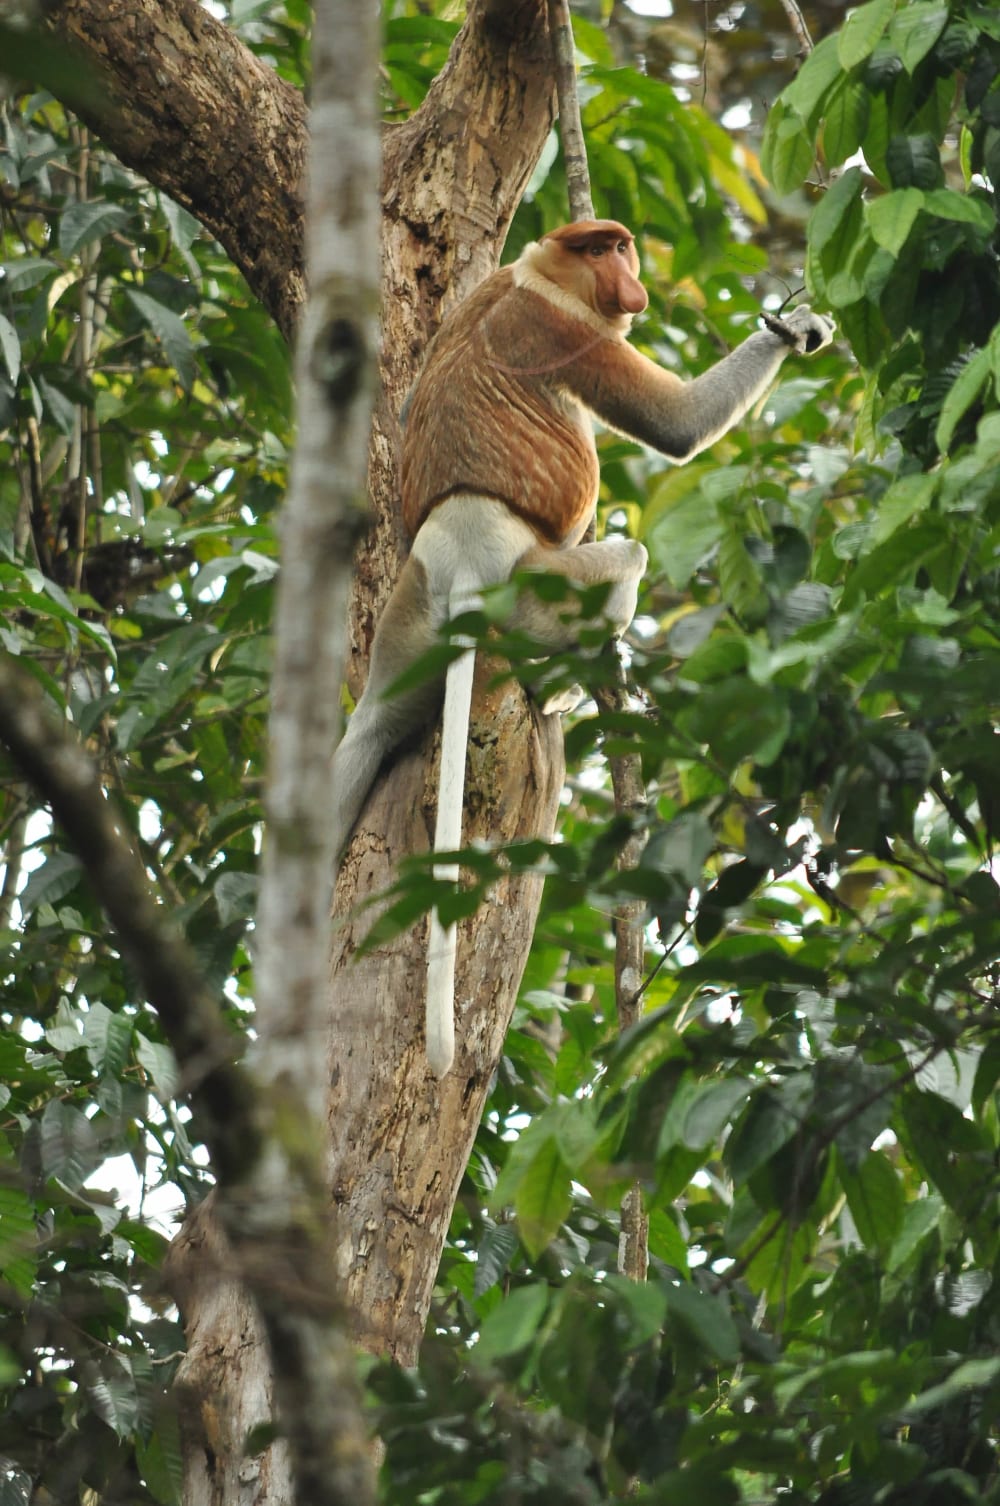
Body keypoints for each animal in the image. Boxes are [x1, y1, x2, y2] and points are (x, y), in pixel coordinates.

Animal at [332, 219, 834, 1077]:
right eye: (601, 249)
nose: (627, 279)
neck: (538, 271)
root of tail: (468, 554)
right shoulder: (572, 332)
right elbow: (674, 424)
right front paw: (797, 327)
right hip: (539, 585)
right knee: (625, 558)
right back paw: (563, 685)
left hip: (410, 612)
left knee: (367, 725)